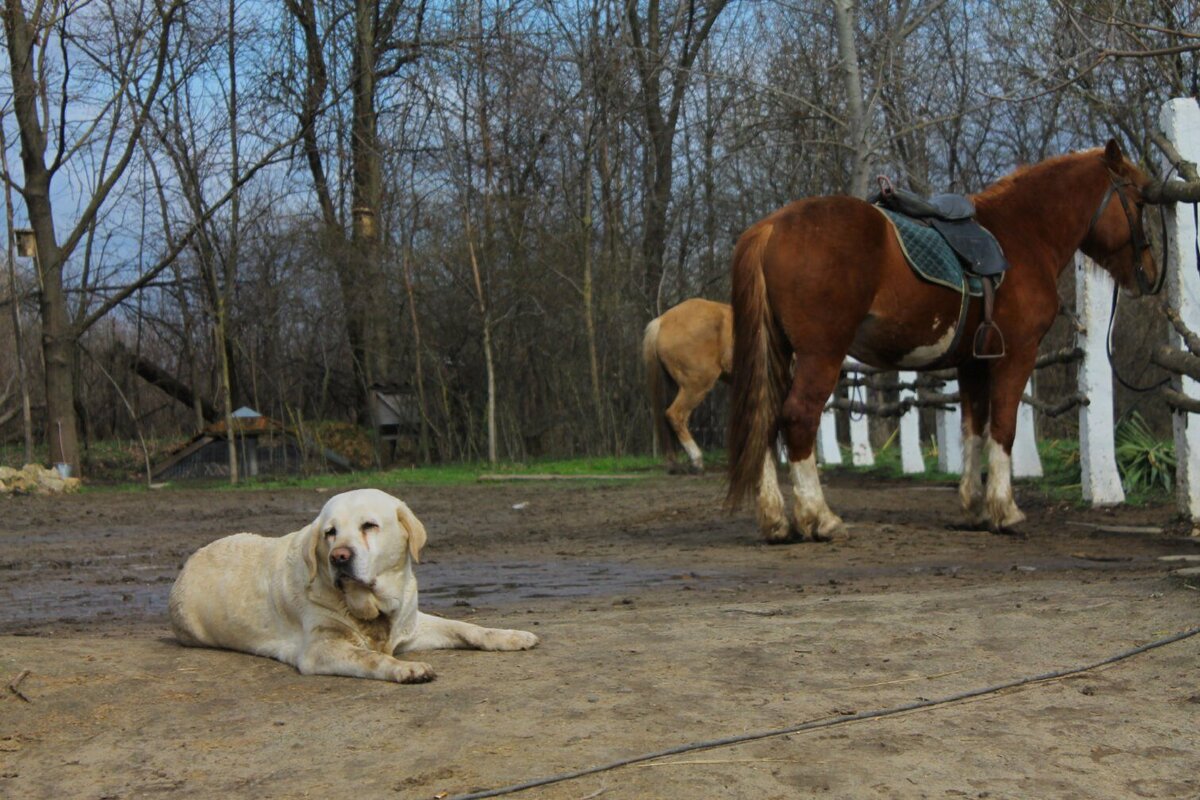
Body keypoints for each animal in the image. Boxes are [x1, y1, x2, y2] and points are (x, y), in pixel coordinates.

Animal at [170, 489, 540, 681]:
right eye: (329, 532)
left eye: (369, 525)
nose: (339, 557)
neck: (373, 607)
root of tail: (189, 561)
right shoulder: (320, 649)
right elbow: (371, 658)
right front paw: (407, 668)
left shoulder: (411, 626)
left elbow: (467, 627)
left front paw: (511, 636)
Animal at [724, 142, 1156, 544]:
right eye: (1137, 201)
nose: (1150, 276)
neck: (1024, 232)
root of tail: (771, 227)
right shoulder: (1017, 355)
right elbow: (1003, 428)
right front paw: (1005, 511)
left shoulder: (974, 362)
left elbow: (973, 429)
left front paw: (974, 509)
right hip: (821, 355)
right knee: (798, 417)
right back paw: (820, 518)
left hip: (780, 353)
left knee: (765, 418)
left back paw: (777, 522)